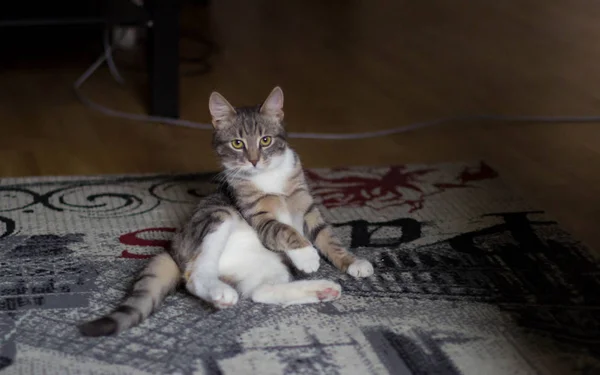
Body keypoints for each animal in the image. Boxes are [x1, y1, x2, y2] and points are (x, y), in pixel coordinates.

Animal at [77, 87, 372, 338]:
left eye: (265, 140)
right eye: (237, 143)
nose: (253, 160)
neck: (269, 178)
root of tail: (173, 248)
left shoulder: (306, 205)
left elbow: (327, 237)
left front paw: (352, 262)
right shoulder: (256, 215)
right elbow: (282, 229)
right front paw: (306, 255)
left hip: (265, 265)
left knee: (260, 292)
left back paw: (321, 289)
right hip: (217, 217)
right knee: (195, 276)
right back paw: (220, 293)